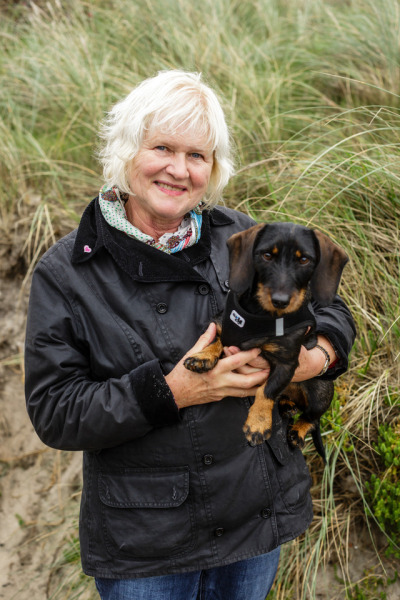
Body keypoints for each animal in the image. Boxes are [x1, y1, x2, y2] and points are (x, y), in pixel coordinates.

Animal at [183, 220, 348, 460]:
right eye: (267, 255)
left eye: (304, 260)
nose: (280, 301)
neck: (262, 316)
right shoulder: (223, 326)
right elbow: (216, 339)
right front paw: (202, 356)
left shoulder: (287, 363)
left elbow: (267, 389)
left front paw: (258, 424)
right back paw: (287, 405)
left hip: (320, 391)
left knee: (312, 418)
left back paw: (298, 430)